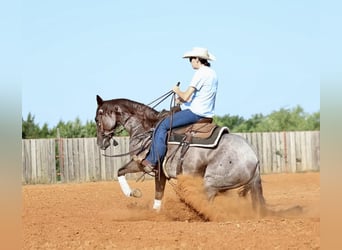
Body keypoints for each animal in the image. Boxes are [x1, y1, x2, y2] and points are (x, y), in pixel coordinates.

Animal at [94, 94, 268, 214]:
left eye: (97, 118)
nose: (100, 142)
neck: (146, 129)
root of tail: (254, 157)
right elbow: (121, 171)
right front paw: (134, 193)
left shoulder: (150, 167)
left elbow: (157, 192)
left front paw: (137, 197)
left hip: (211, 182)